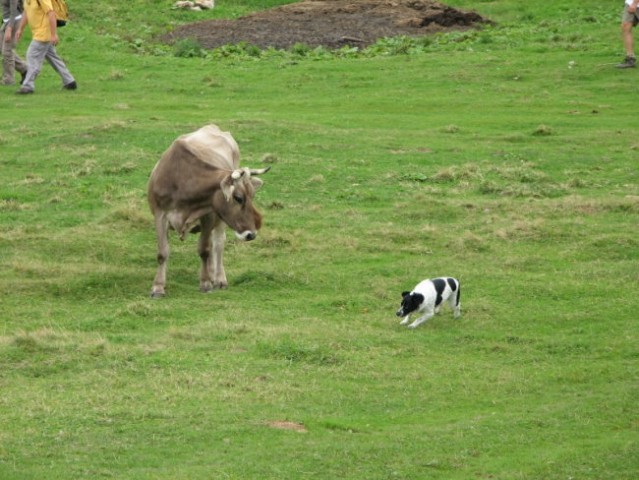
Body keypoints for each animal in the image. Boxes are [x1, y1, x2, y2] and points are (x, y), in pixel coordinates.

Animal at [148, 124, 270, 296]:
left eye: (252, 196)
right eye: (238, 198)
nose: (251, 234)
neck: (181, 179)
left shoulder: (209, 216)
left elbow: (204, 250)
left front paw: (205, 283)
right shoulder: (160, 215)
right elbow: (162, 252)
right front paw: (158, 287)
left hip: (220, 220)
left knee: (218, 244)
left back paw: (219, 278)